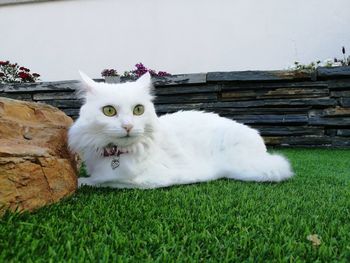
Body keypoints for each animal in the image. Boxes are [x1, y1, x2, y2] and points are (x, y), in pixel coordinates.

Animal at [68, 71, 292, 189]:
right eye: (109, 111)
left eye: (138, 110)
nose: (128, 126)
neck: (117, 153)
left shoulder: (144, 180)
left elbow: (104, 181)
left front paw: (82, 181)